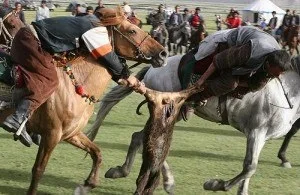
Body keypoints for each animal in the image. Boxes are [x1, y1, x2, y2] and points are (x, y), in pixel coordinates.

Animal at [0, 8, 166, 194]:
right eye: (132, 31)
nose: (163, 53)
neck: (74, 85)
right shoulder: (51, 135)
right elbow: (38, 170)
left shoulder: (71, 134)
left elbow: (97, 152)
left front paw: (87, 184)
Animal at [84, 54, 300, 194]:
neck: (285, 93)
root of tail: (154, 69)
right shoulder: (256, 132)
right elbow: (249, 167)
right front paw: (215, 184)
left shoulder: (261, 137)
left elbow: (249, 169)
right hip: (169, 113)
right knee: (149, 141)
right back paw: (165, 181)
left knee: (140, 138)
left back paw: (124, 171)